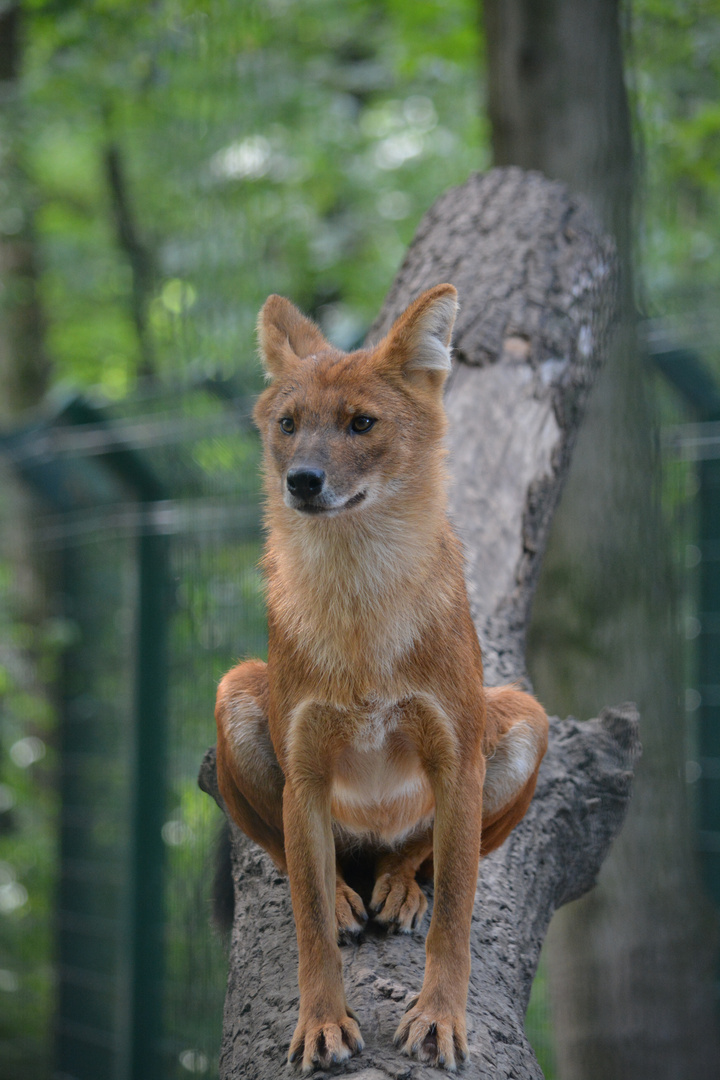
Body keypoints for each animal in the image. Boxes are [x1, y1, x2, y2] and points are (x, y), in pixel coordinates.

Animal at [213, 285, 546, 1071]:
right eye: (289, 425)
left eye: (361, 423)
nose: (302, 480)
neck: (361, 609)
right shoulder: (303, 765)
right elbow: (307, 924)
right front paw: (323, 1022)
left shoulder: (457, 752)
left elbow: (454, 910)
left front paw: (440, 1017)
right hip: (235, 691)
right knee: (295, 855)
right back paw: (345, 889)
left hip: (523, 717)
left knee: (420, 850)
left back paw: (398, 883)